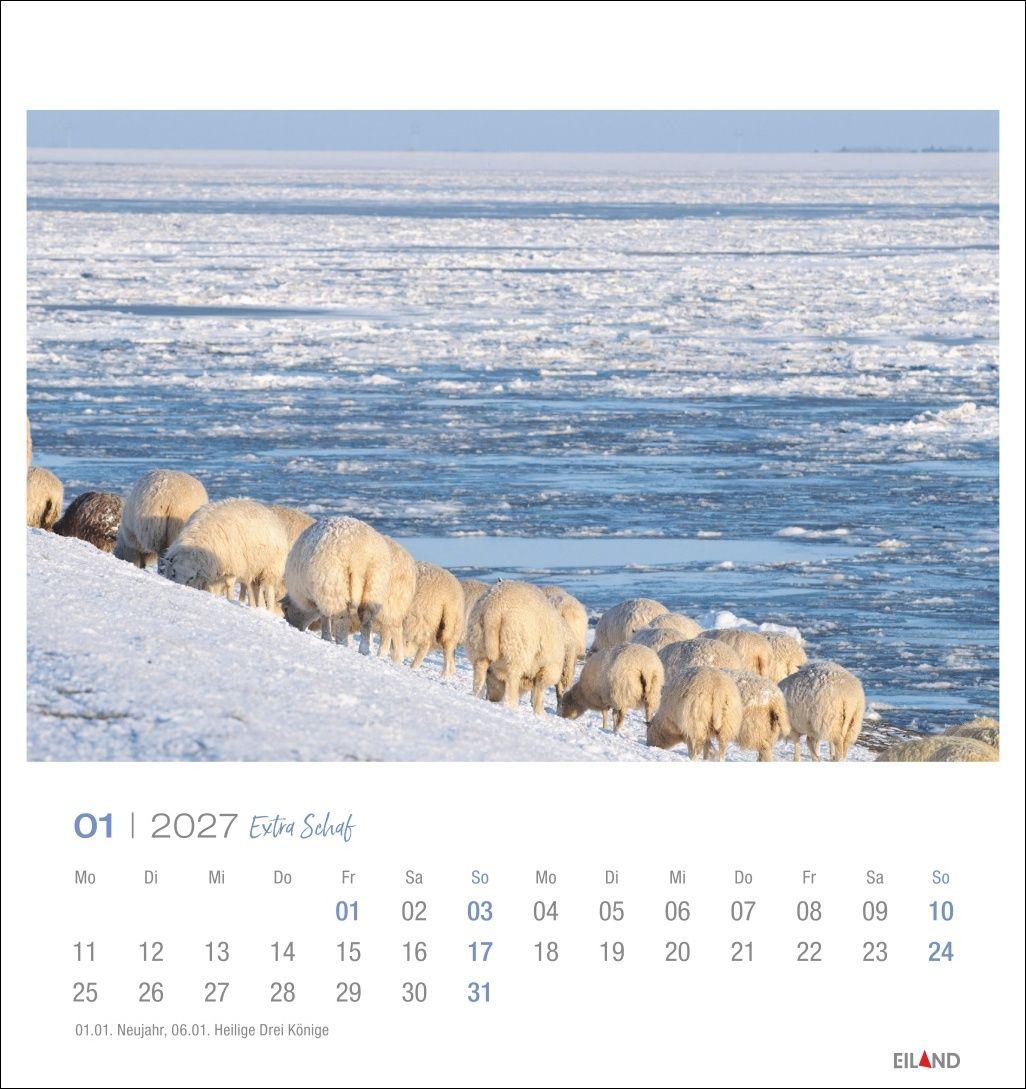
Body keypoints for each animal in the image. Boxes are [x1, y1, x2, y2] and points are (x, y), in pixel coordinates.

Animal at [281, 515, 393, 653]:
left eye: (285, 609)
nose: (293, 626)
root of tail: (358, 554)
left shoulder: (320, 594)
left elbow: (324, 616)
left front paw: (326, 637)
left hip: (334, 584)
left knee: (341, 620)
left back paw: (341, 643)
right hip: (374, 585)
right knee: (366, 620)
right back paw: (364, 650)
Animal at [465, 581, 568, 714]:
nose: (491, 699)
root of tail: (494, 607)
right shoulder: (548, 667)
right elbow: (539, 692)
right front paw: (539, 713)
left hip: (478, 641)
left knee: (479, 673)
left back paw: (477, 696)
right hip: (515, 644)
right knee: (512, 680)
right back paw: (512, 705)